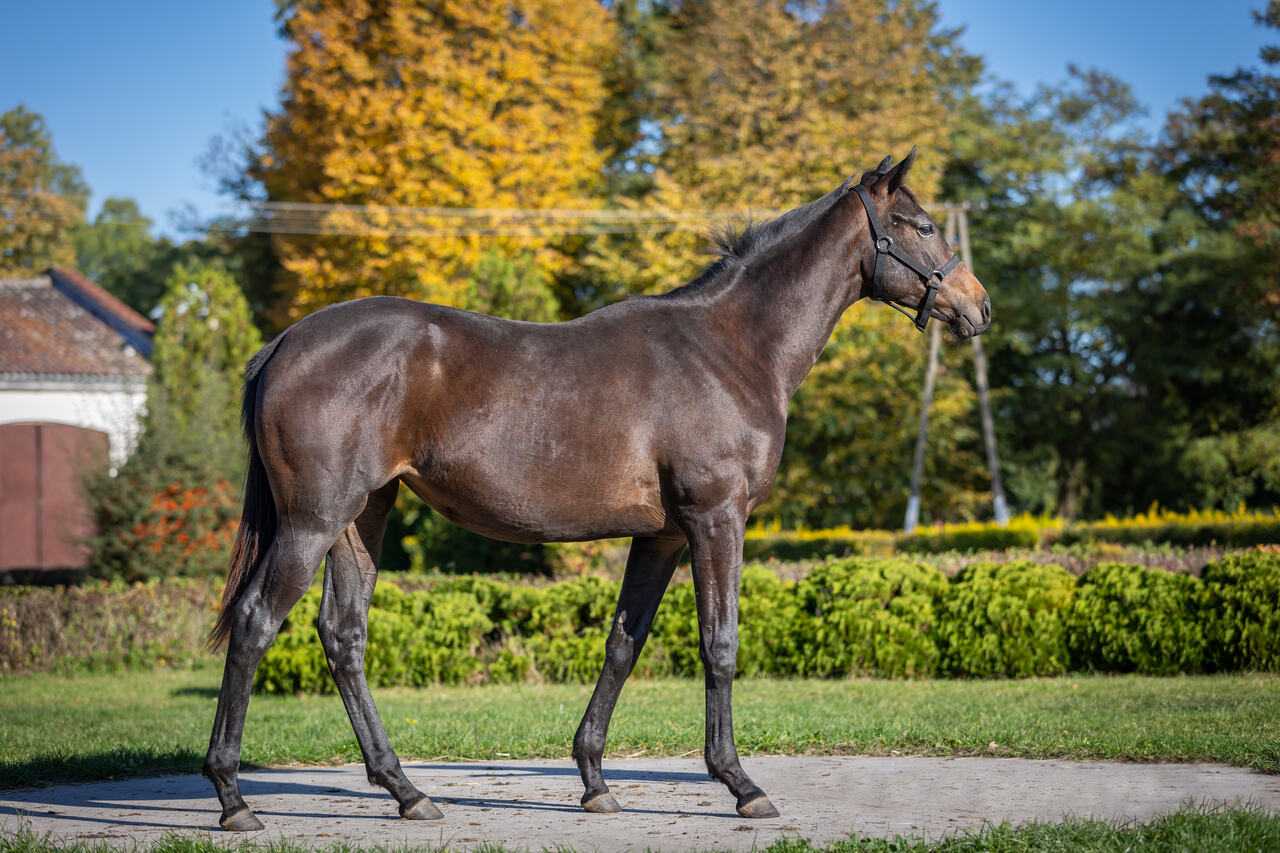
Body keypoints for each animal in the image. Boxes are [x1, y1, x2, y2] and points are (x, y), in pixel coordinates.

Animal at [203, 149, 991, 831]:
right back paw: (234, 797)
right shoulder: (716, 519)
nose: (978, 307)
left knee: (343, 636)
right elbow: (720, 642)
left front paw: (594, 781)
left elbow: (623, 643)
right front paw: (740, 784)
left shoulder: (662, 534)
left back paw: (406, 791)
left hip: (361, 519)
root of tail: (284, 343)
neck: (731, 347)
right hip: (312, 521)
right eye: (920, 225)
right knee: (255, 623)